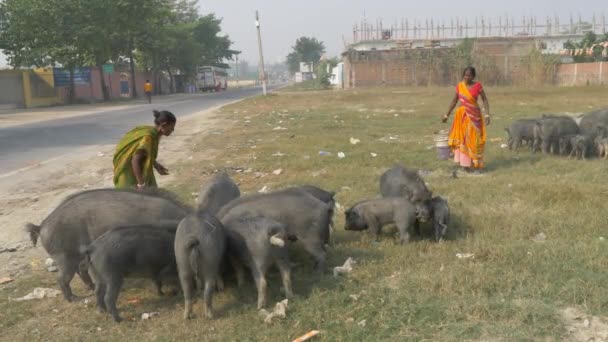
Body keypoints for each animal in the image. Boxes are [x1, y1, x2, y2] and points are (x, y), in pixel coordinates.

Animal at [25, 187, 192, 302]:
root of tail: (41, 226)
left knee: (81, 270)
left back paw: (91, 288)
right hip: (64, 257)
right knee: (62, 278)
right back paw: (75, 299)